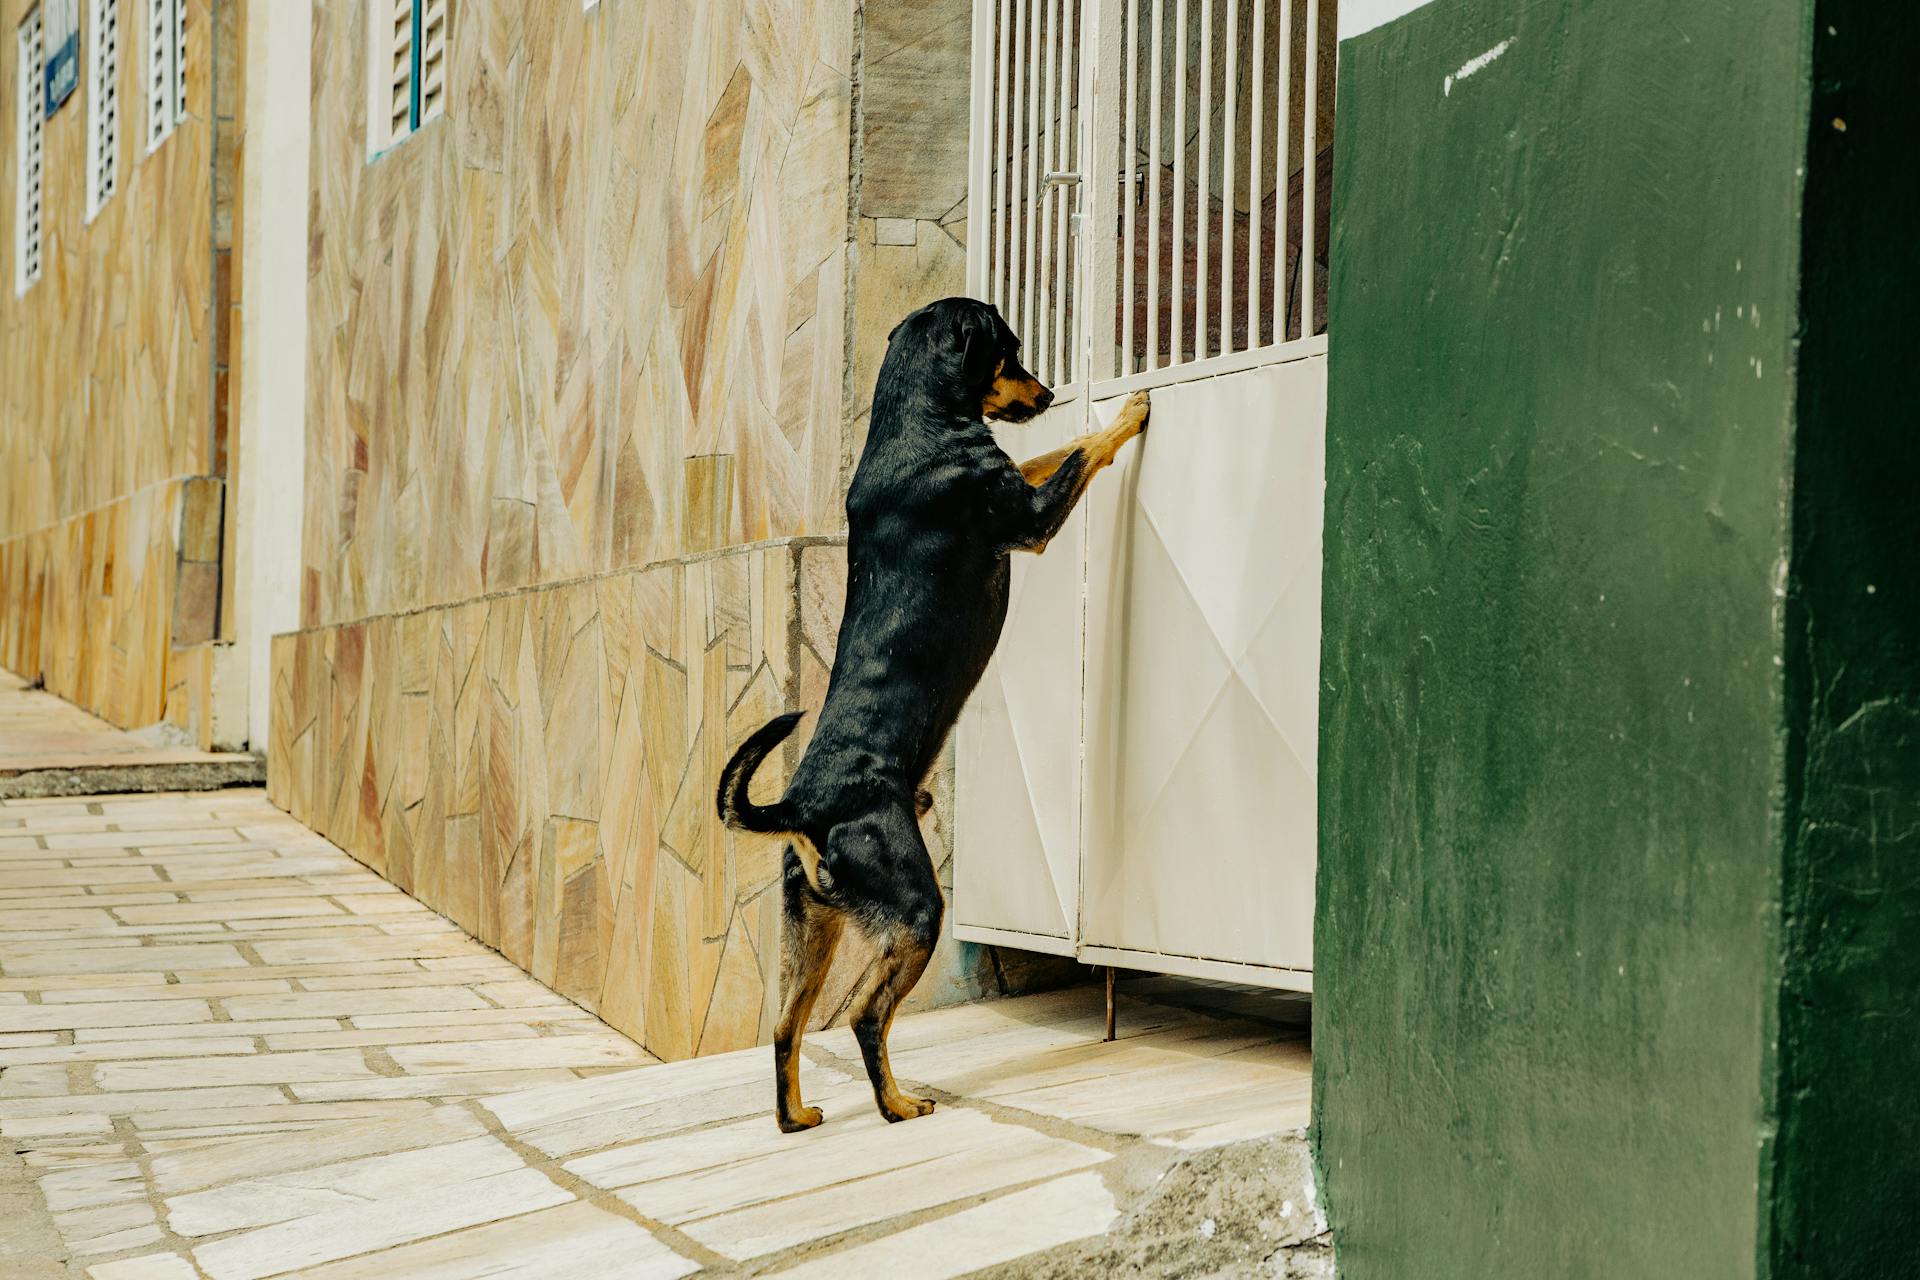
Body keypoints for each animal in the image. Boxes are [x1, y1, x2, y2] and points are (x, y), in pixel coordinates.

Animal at [718, 295, 1136, 1128]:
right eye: (1009, 351)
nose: (1046, 393)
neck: (916, 418)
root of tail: (805, 806)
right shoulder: (1031, 521)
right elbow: (1084, 447)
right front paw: (1131, 408)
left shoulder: (1020, 495)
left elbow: (1054, 452)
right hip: (916, 911)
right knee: (864, 1016)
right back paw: (898, 1104)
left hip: (811, 924)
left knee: (785, 1026)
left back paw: (798, 1116)